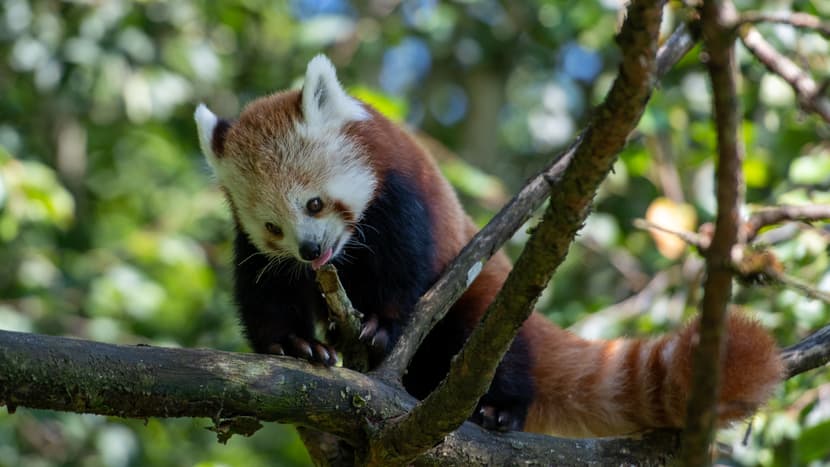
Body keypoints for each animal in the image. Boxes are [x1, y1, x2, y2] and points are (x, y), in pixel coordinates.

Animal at [197, 54, 788, 438]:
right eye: (274, 227)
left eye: (315, 204)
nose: (311, 251)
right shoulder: (259, 253)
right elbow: (267, 293)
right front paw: (294, 345)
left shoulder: (402, 196)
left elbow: (404, 271)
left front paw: (383, 325)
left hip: (486, 302)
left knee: (492, 343)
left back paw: (501, 406)